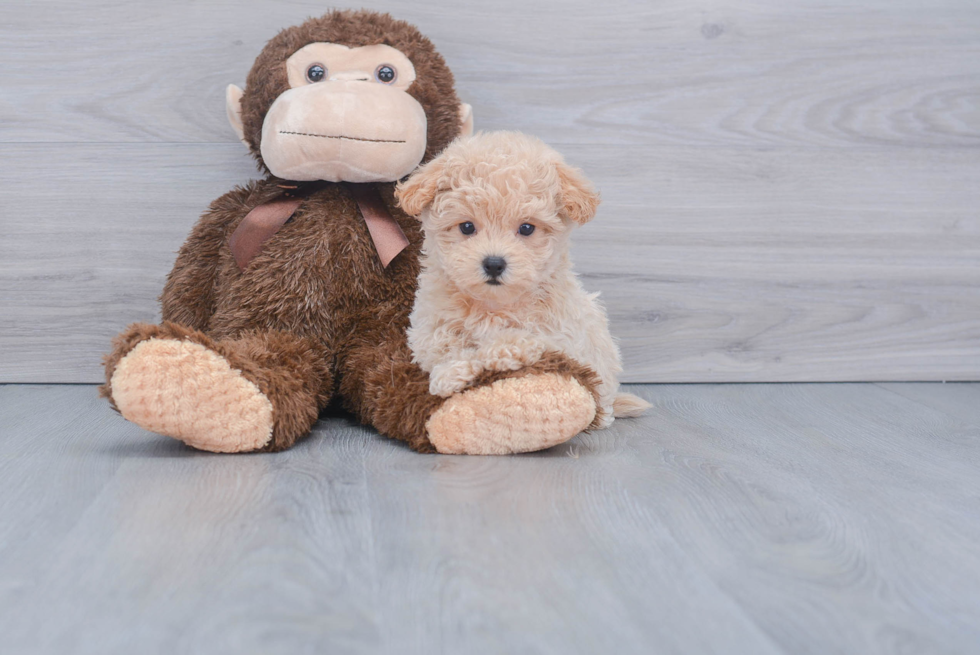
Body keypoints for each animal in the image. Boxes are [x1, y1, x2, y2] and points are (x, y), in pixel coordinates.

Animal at [394, 134, 648, 430]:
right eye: (467, 227)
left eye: (526, 228)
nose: (494, 263)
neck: (494, 306)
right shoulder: (428, 327)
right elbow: (445, 345)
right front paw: (450, 372)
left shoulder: (556, 335)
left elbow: (506, 342)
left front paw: (471, 363)